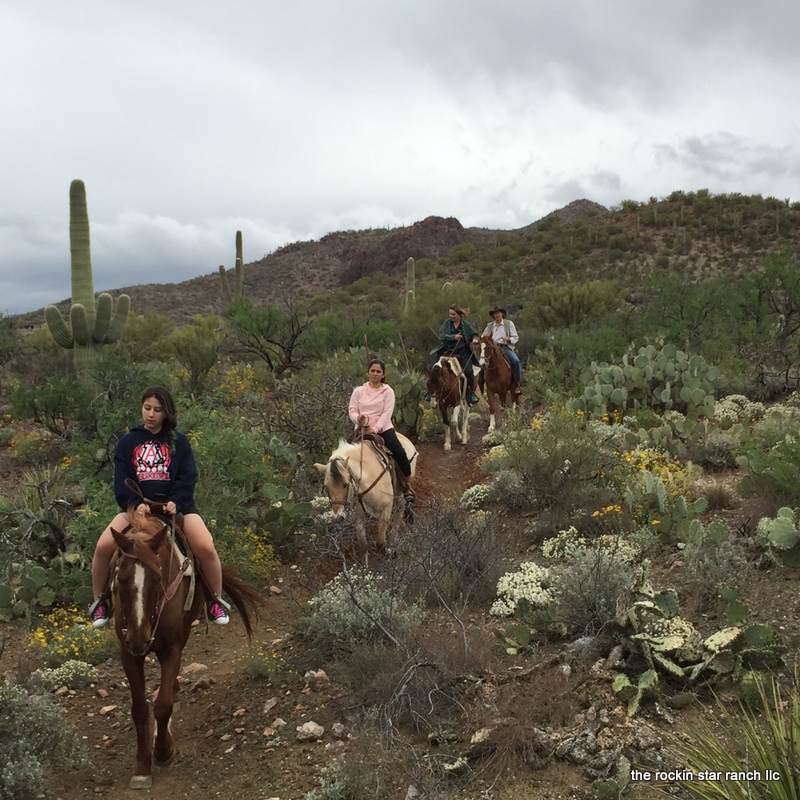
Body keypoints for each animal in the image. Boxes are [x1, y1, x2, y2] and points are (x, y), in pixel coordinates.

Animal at [108, 512, 260, 788]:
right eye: (120, 579)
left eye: (157, 578)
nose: (139, 639)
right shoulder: (128, 654)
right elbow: (139, 709)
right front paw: (142, 765)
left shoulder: (172, 648)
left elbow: (162, 706)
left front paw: (163, 751)